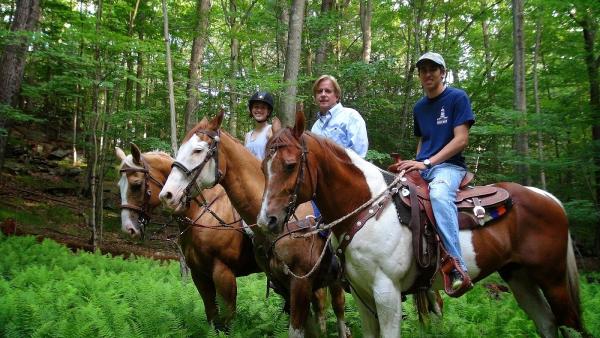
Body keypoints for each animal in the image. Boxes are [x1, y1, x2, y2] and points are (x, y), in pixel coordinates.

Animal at [115, 145, 260, 330]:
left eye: (136, 184)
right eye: (119, 185)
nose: (128, 229)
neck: (202, 213)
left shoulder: (224, 274)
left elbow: (227, 321)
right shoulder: (200, 275)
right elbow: (212, 316)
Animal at [256, 111, 580, 338]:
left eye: (290, 165)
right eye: (263, 167)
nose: (266, 220)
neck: (369, 209)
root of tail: (548, 198)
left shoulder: (387, 293)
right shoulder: (361, 294)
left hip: (553, 280)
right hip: (519, 277)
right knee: (548, 324)